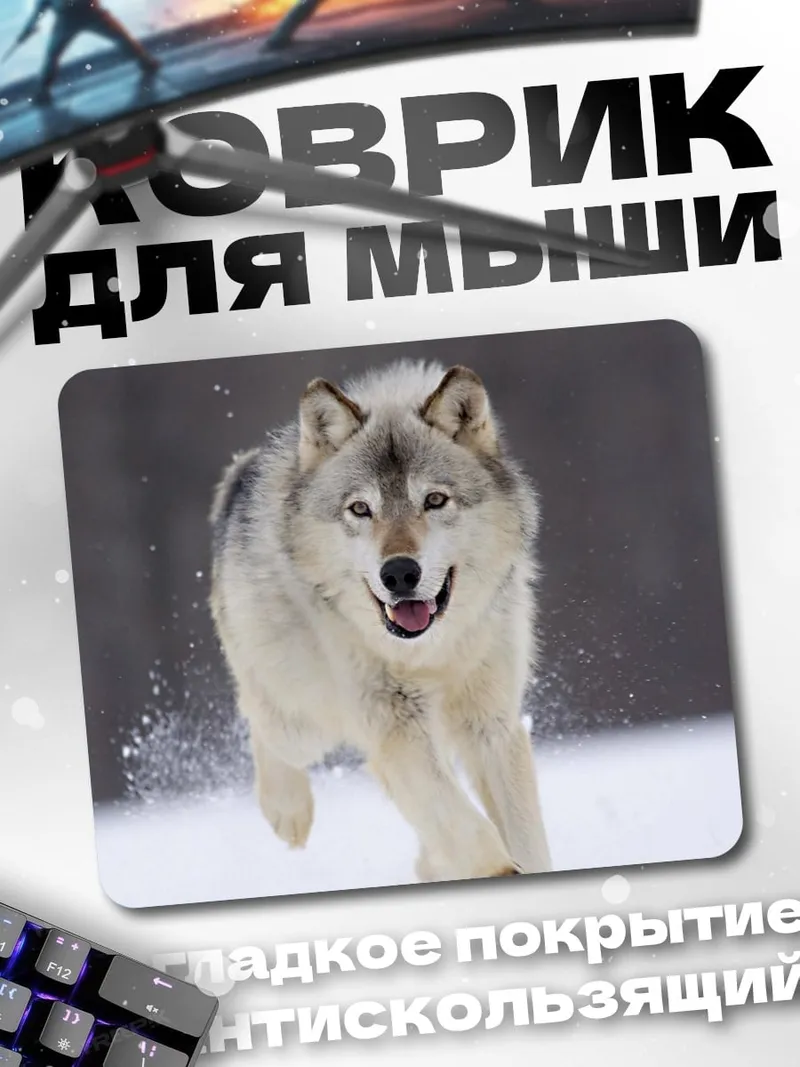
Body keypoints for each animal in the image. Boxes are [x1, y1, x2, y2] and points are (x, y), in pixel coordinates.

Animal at [209, 360, 551, 882]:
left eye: (434, 500)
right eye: (360, 509)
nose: (400, 573)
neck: (429, 653)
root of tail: (241, 474)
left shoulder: (490, 725)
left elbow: (524, 839)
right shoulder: (396, 727)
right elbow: (472, 835)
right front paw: (497, 873)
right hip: (304, 718)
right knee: (261, 721)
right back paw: (288, 812)